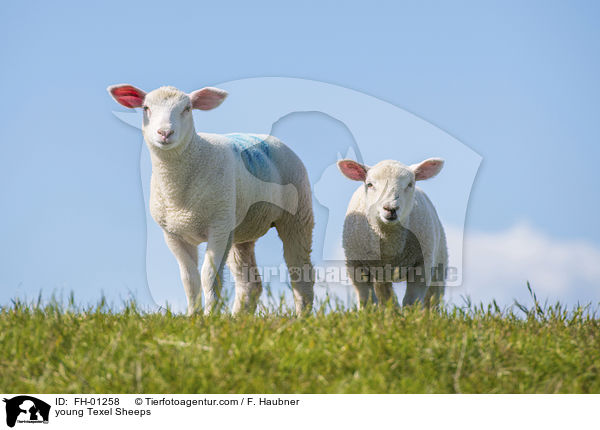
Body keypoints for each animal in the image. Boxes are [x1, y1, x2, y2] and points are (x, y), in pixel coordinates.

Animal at [108, 84, 314, 314]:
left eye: (187, 108)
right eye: (146, 108)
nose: (165, 133)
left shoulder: (218, 227)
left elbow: (209, 276)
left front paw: (210, 316)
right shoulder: (173, 234)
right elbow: (189, 279)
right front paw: (193, 316)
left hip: (297, 214)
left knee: (301, 272)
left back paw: (301, 316)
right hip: (241, 228)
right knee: (250, 283)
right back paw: (238, 318)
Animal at [338, 158, 446, 310]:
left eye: (410, 184)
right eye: (369, 184)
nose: (390, 208)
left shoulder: (422, 265)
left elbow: (412, 300)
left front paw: (412, 315)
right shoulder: (356, 265)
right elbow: (367, 301)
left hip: (440, 262)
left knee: (432, 299)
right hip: (381, 275)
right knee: (387, 298)